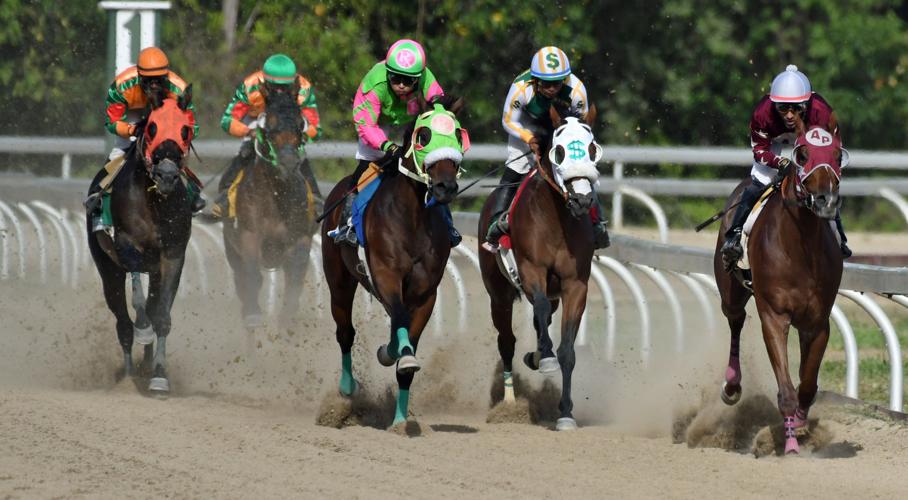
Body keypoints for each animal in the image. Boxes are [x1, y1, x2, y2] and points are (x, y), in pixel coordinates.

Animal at [86, 89, 196, 393]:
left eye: (185, 129)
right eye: (152, 127)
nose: (167, 175)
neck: (154, 201)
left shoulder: (172, 255)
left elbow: (162, 315)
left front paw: (159, 375)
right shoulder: (126, 247)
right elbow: (137, 303)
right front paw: (143, 331)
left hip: (154, 271)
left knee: (151, 305)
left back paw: (146, 368)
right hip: (107, 269)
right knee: (123, 323)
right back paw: (127, 374)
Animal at [222, 85, 319, 329]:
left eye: (300, 123)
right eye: (269, 124)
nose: (288, 161)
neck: (277, 196)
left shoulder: (300, 239)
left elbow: (295, 283)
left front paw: (286, 320)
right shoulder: (248, 234)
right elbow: (252, 276)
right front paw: (253, 314)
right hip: (231, 248)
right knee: (241, 280)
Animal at [321, 97, 467, 426]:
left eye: (457, 133)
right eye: (423, 136)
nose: (445, 187)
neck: (411, 218)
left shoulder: (426, 292)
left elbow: (407, 340)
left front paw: (400, 419)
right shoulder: (386, 275)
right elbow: (399, 318)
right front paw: (396, 355)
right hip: (338, 278)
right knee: (345, 331)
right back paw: (347, 388)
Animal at [478, 105, 601, 431]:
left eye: (592, 149)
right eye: (559, 151)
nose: (582, 199)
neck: (558, 220)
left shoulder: (575, 286)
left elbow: (567, 350)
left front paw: (566, 413)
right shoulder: (532, 271)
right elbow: (541, 309)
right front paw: (545, 359)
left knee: (539, 322)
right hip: (498, 294)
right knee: (507, 340)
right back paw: (510, 401)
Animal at [714, 125, 846, 454]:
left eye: (838, 155)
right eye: (802, 155)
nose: (826, 200)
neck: (801, 248)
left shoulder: (817, 322)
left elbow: (807, 384)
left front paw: (799, 422)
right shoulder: (774, 317)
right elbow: (786, 389)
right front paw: (790, 445)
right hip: (731, 292)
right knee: (735, 319)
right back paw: (731, 386)